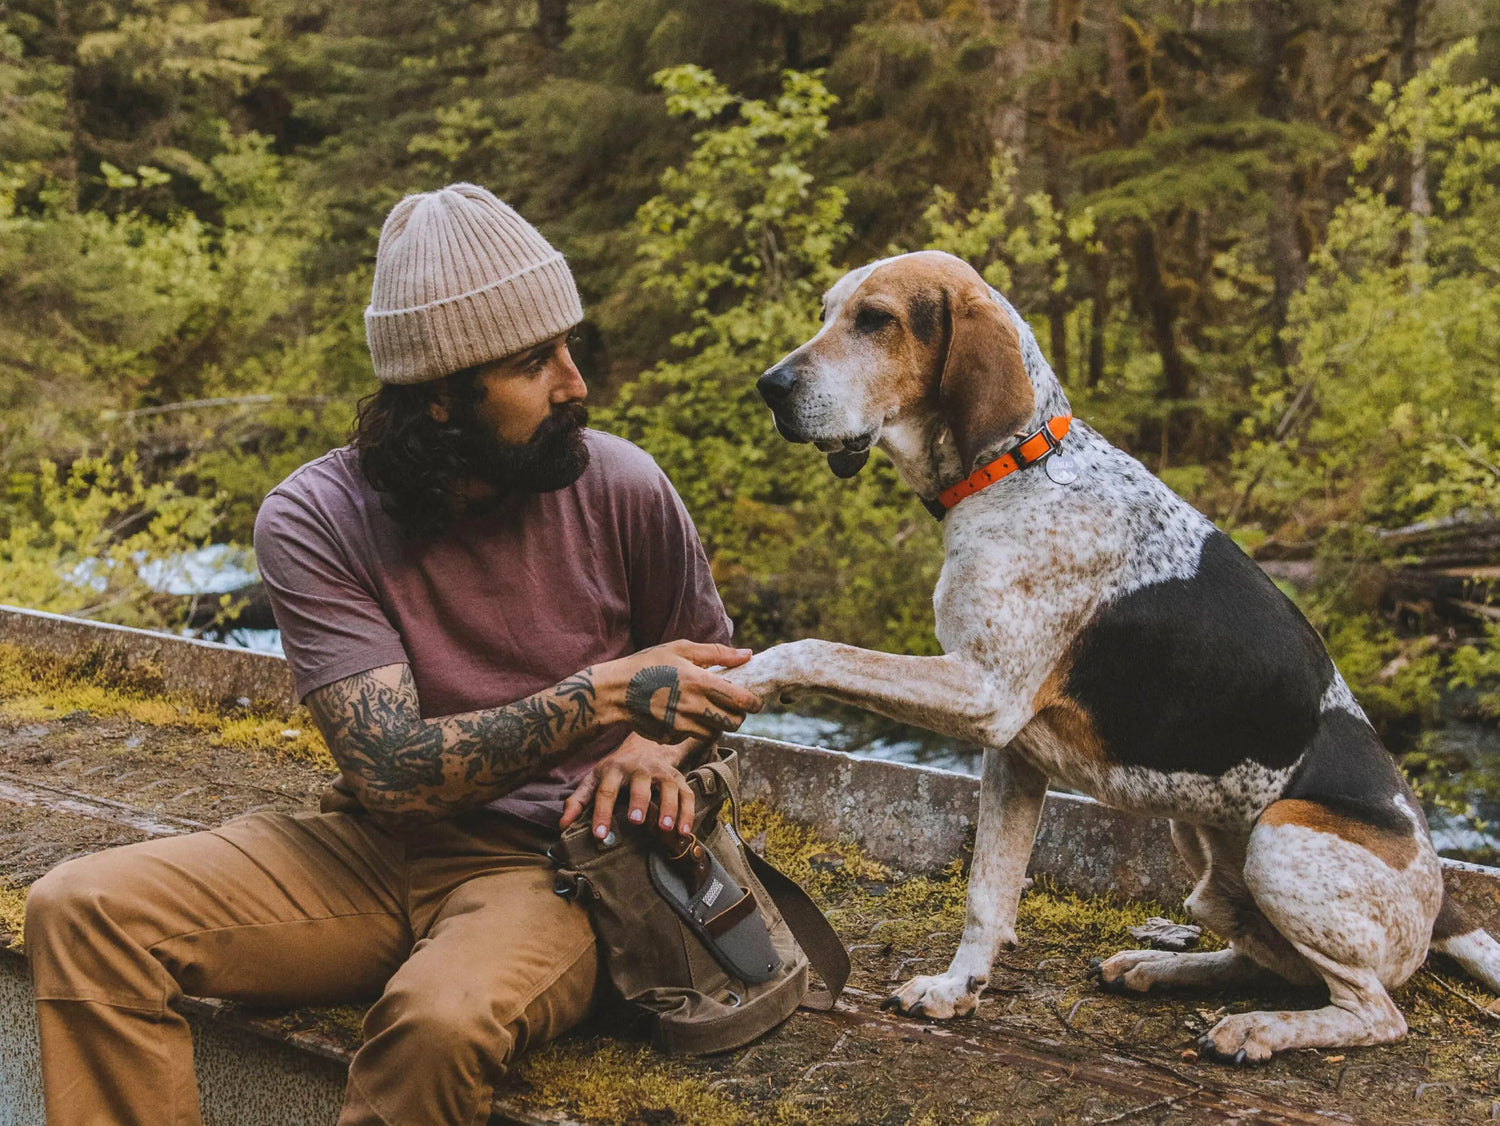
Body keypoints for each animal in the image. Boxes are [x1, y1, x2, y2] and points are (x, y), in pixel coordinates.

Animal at [726, 248, 1500, 1067]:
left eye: (876, 320)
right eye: (827, 310)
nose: (769, 386)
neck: (1018, 470)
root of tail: (1442, 899)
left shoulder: (985, 694)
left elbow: (812, 647)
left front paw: (737, 674)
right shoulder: (1013, 752)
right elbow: (987, 892)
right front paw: (956, 989)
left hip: (1282, 838)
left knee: (1374, 1010)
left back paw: (1260, 1029)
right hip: (1203, 853)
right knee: (1269, 962)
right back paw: (1162, 967)